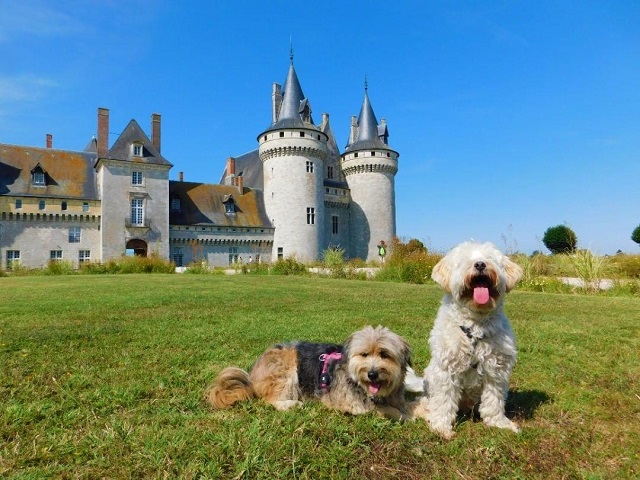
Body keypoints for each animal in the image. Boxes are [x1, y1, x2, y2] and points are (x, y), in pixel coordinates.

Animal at [208, 326, 412, 420]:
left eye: (385, 355)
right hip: (287, 366)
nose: (372, 374)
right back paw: (291, 404)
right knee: (269, 400)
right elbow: (384, 410)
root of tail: (252, 375)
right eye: (364, 354)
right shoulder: (349, 403)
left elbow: (404, 404)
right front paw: (403, 415)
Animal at [408, 242, 524, 436]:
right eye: (463, 261)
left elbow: (494, 399)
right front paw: (441, 427)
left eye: (490, 258)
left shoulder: (496, 368)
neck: (475, 326)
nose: (480, 264)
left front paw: (498, 423)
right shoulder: (446, 369)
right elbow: (444, 401)